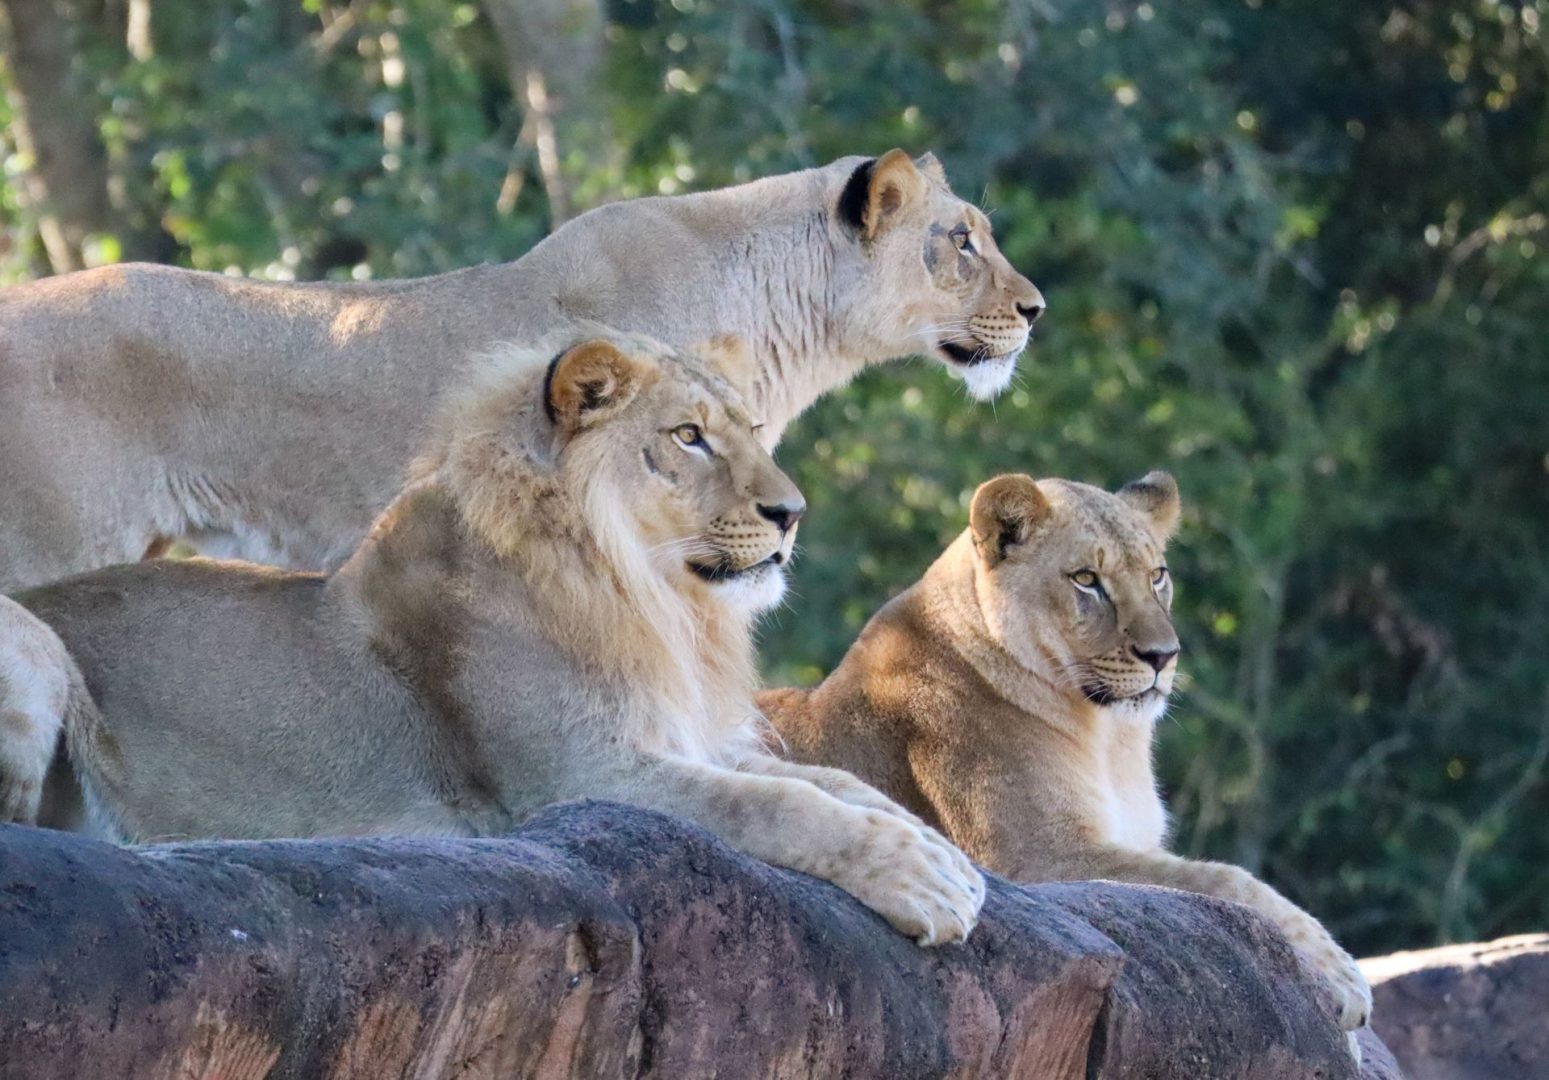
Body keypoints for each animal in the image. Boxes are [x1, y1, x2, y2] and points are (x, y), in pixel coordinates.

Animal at [8, 332, 984, 946]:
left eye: (747, 432)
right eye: (687, 437)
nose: (791, 513)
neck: (650, 597)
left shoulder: (677, 736)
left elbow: (834, 782)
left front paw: (947, 858)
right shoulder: (578, 779)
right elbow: (778, 805)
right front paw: (921, 883)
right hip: (34, 651)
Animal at [759, 472, 1374, 1037]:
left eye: (1157, 575)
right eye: (1086, 580)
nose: (1164, 655)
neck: (1111, 740)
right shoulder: (1037, 859)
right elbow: (1225, 881)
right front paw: (1341, 977)